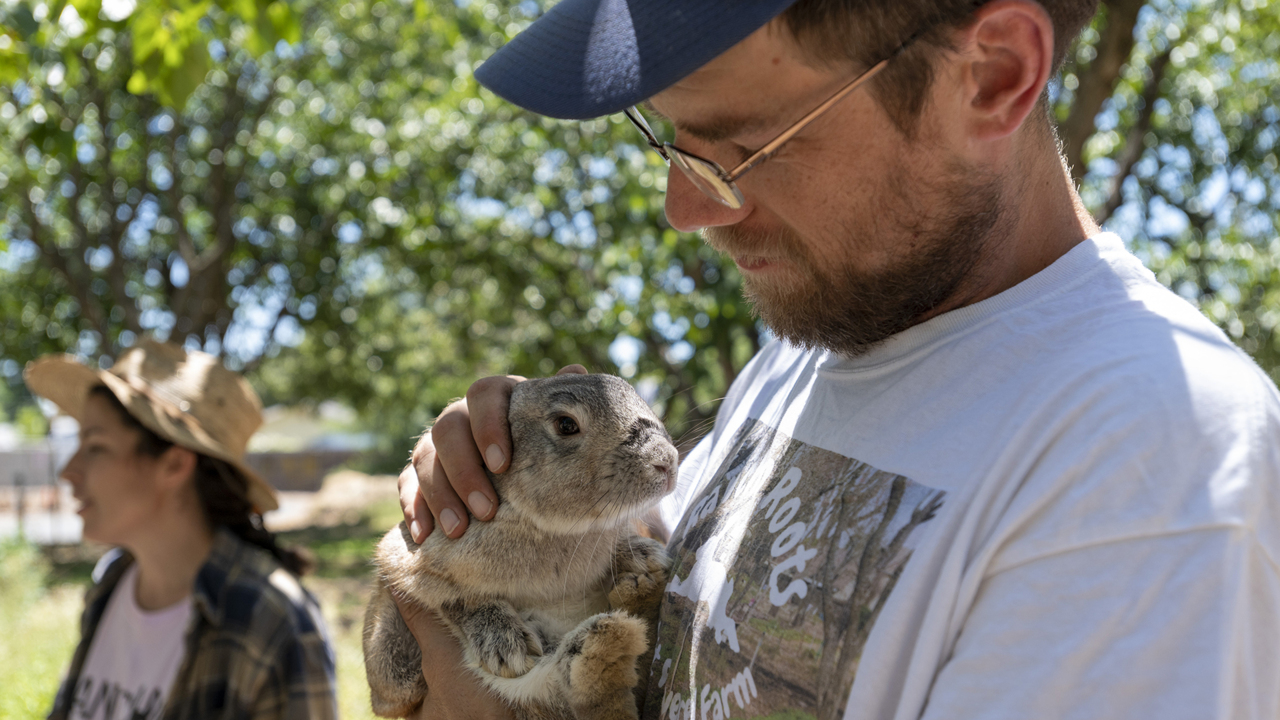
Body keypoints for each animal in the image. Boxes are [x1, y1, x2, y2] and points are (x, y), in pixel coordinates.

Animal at [363, 373, 677, 720]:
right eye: (566, 424)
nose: (667, 461)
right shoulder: (415, 557)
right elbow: (458, 598)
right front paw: (504, 644)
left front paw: (644, 555)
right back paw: (609, 641)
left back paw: (638, 595)